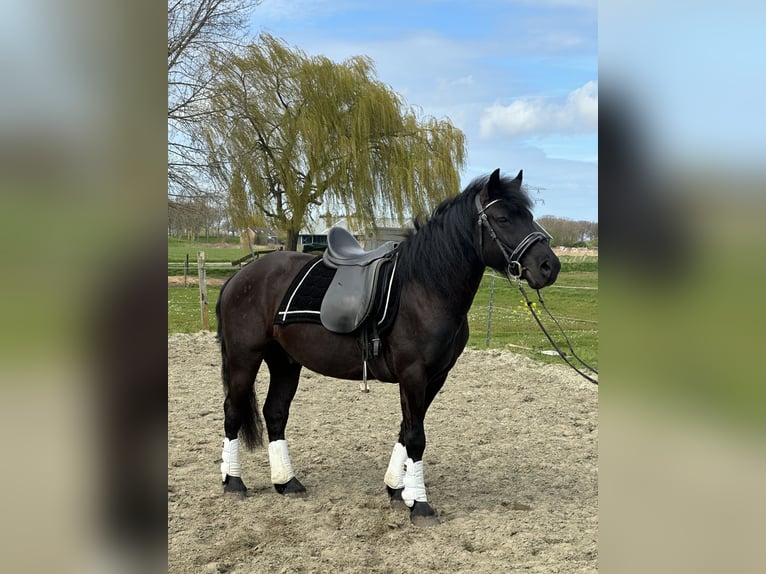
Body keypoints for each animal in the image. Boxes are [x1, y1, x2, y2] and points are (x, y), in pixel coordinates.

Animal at [215, 168, 561, 526]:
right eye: (503, 218)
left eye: (529, 216)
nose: (549, 266)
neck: (426, 287)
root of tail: (239, 277)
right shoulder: (413, 375)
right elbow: (416, 436)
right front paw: (419, 504)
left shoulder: (435, 377)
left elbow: (406, 431)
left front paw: (398, 489)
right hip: (245, 359)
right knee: (233, 411)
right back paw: (234, 482)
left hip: (284, 361)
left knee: (275, 413)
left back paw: (287, 482)